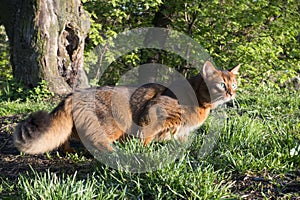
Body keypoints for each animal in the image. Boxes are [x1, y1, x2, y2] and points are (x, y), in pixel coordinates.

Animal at [14, 61, 240, 155]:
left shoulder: (180, 131)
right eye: (221, 84)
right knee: (97, 142)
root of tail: (73, 95)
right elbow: (146, 137)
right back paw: (114, 153)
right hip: (113, 125)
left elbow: (181, 140)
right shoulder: (152, 113)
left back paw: (68, 150)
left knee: (67, 135)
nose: (231, 93)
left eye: (234, 84)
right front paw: (145, 152)